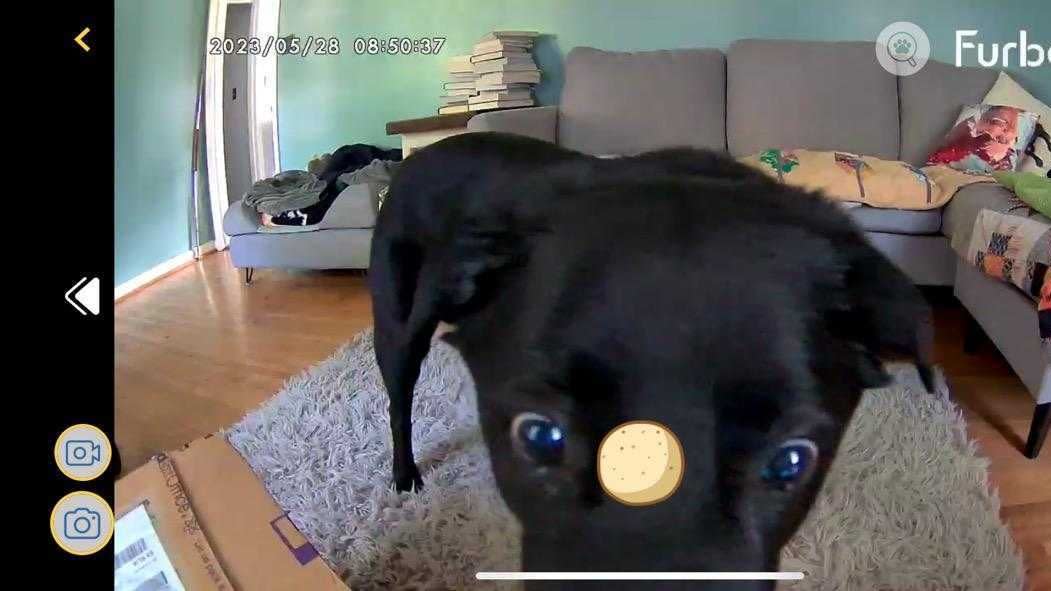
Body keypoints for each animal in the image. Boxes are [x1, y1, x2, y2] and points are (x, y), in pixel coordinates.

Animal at [367, 130, 929, 584]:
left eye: (792, 460)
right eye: (539, 435)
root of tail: (419, 153)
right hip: (398, 329)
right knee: (398, 405)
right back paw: (405, 475)